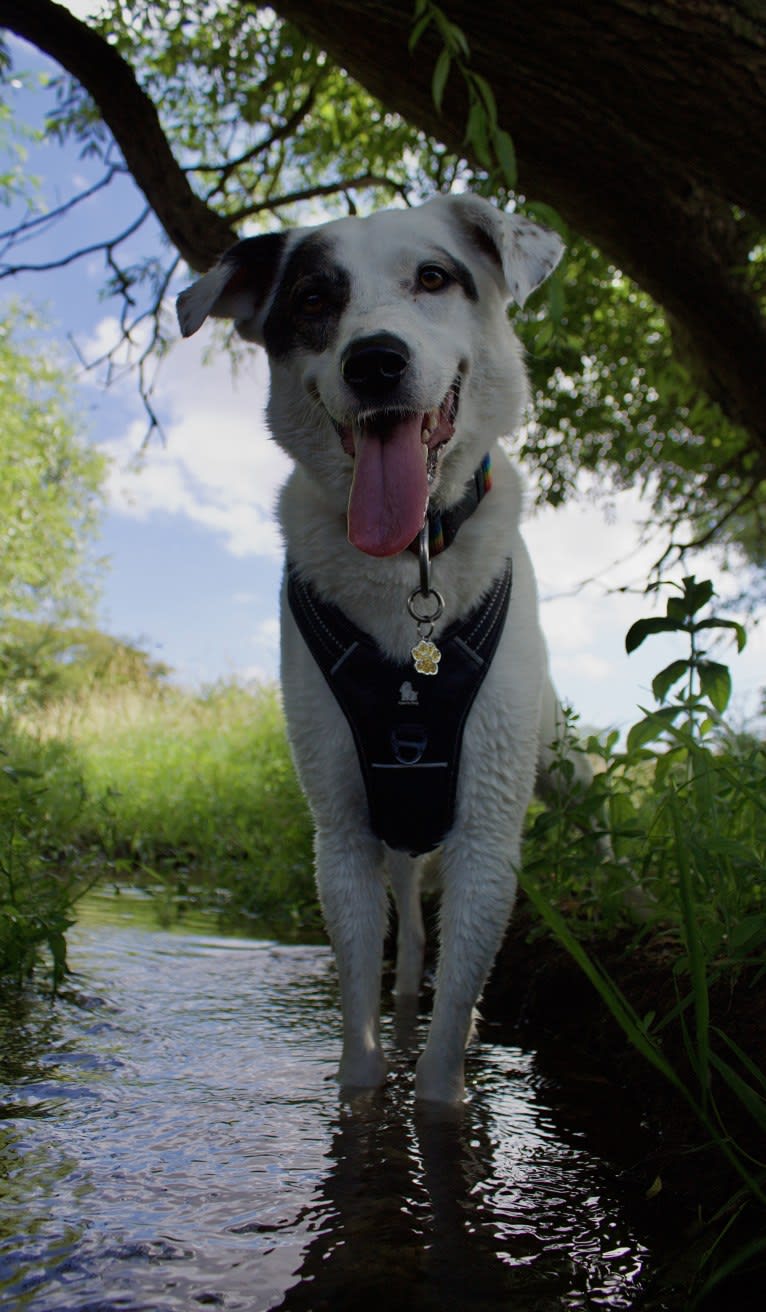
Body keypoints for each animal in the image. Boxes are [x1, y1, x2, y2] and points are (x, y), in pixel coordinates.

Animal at [179, 191, 582, 1096]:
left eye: (433, 277)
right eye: (313, 301)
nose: (374, 363)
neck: (411, 562)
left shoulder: (487, 834)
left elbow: (446, 1047)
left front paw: (440, 1086)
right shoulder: (342, 833)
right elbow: (361, 1025)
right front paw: (365, 1091)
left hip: (554, 757)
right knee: (411, 946)